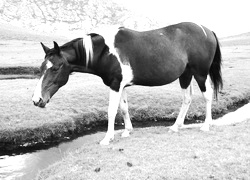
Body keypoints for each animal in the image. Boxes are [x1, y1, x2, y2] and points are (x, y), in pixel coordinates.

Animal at [31, 22, 223, 145]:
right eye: (41, 68)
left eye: (55, 68)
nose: (37, 100)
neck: (106, 52)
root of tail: (207, 31)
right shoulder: (121, 85)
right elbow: (123, 108)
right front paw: (127, 131)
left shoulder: (115, 85)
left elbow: (111, 111)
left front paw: (107, 138)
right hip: (186, 75)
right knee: (187, 99)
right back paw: (176, 126)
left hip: (200, 74)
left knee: (207, 96)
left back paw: (206, 125)